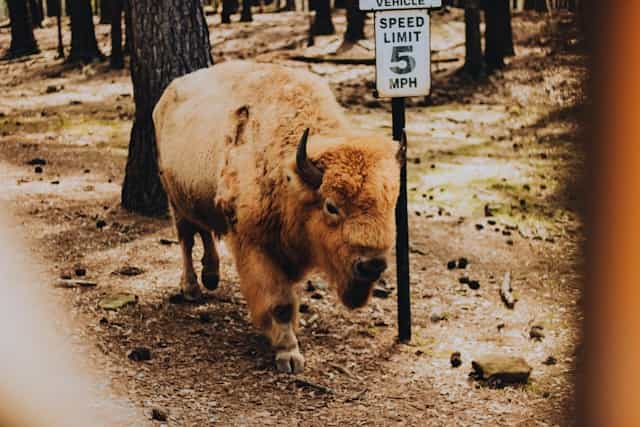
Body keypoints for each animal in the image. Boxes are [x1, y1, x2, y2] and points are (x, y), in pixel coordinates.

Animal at [154, 61, 400, 374]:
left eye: (391, 203)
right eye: (331, 206)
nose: (372, 265)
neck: (287, 175)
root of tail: (167, 94)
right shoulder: (255, 245)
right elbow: (279, 302)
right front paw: (288, 354)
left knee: (206, 231)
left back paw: (211, 275)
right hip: (175, 201)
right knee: (186, 239)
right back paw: (192, 287)